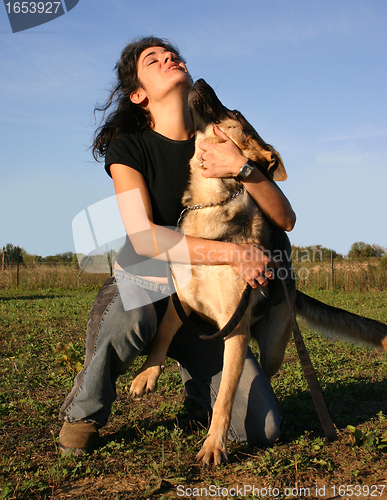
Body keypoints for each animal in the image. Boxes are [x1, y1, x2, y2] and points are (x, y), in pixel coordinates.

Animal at [130, 78, 387, 464]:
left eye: (235, 113)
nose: (199, 79)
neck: (211, 202)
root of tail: (292, 286)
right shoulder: (183, 302)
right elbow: (161, 334)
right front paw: (146, 375)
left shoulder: (233, 328)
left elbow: (225, 397)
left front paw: (214, 445)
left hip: (273, 346)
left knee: (262, 374)